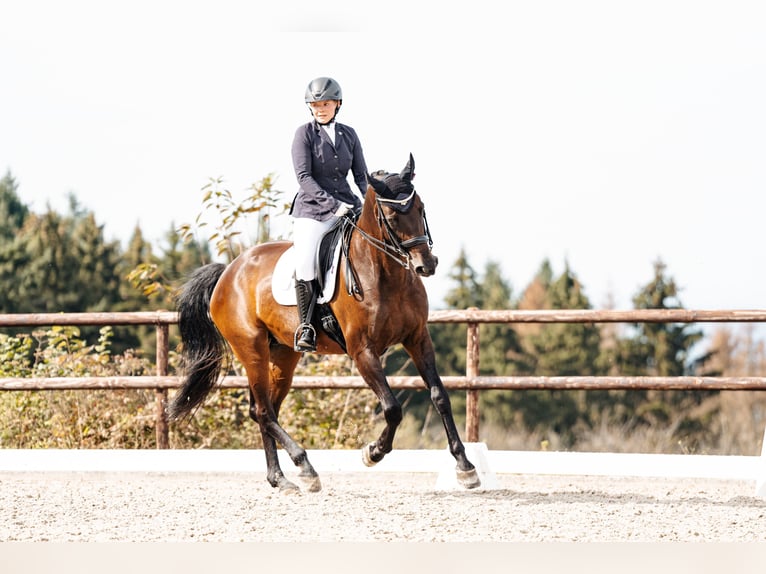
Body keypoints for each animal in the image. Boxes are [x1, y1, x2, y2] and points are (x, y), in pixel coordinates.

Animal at [167, 155, 480, 492]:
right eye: (392, 217)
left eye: (421, 207)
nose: (426, 265)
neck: (386, 274)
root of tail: (228, 271)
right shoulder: (362, 351)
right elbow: (392, 408)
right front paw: (372, 452)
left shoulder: (418, 338)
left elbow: (440, 396)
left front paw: (465, 466)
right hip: (251, 350)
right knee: (263, 411)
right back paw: (305, 467)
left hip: (283, 355)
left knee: (264, 409)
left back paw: (280, 478)